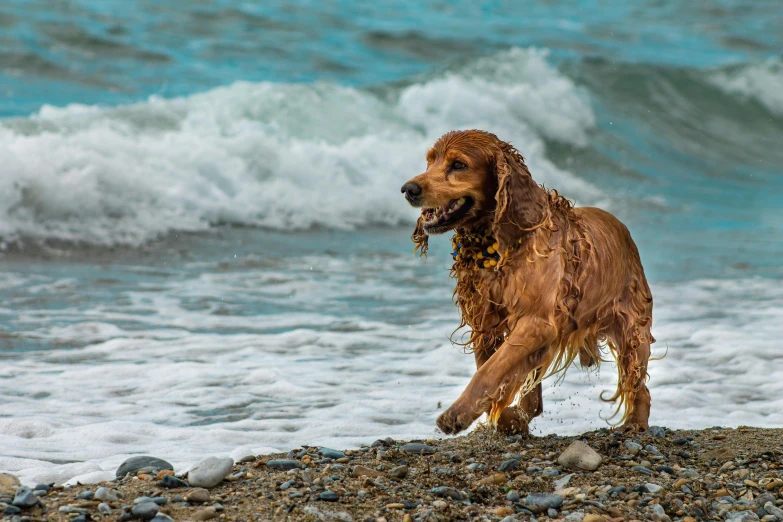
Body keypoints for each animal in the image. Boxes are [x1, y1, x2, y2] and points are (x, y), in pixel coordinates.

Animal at [404, 128, 656, 432]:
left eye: (458, 164)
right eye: (430, 161)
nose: (408, 189)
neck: (498, 245)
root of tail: (624, 230)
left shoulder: (537, 322)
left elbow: (491, 371)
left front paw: (458, 413)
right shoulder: (486, 321)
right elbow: (493, 369)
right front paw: (501, 415)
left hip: (633, 330)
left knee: (639, 385)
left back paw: (635, 423)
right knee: (533, 392)